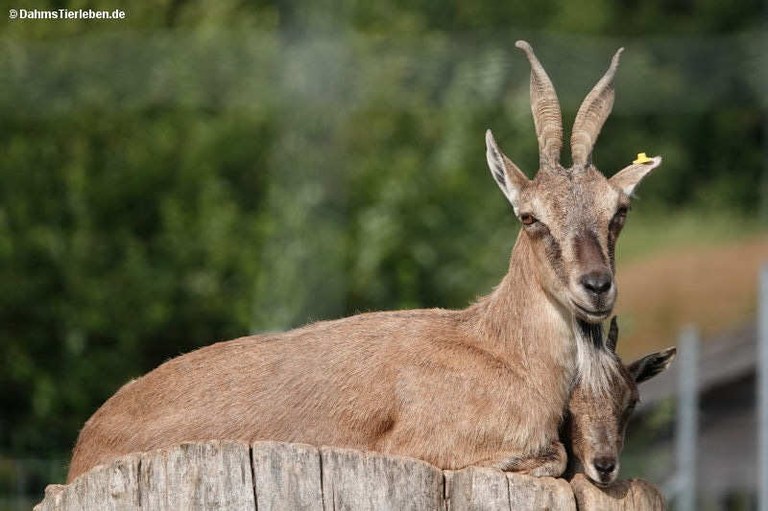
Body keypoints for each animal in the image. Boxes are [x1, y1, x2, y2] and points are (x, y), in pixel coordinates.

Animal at [67, 41, 662, 482]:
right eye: (529, 217)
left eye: (619, 210)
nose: (596, 286)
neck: (502, 352)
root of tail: (83, 445)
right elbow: (554, 459)